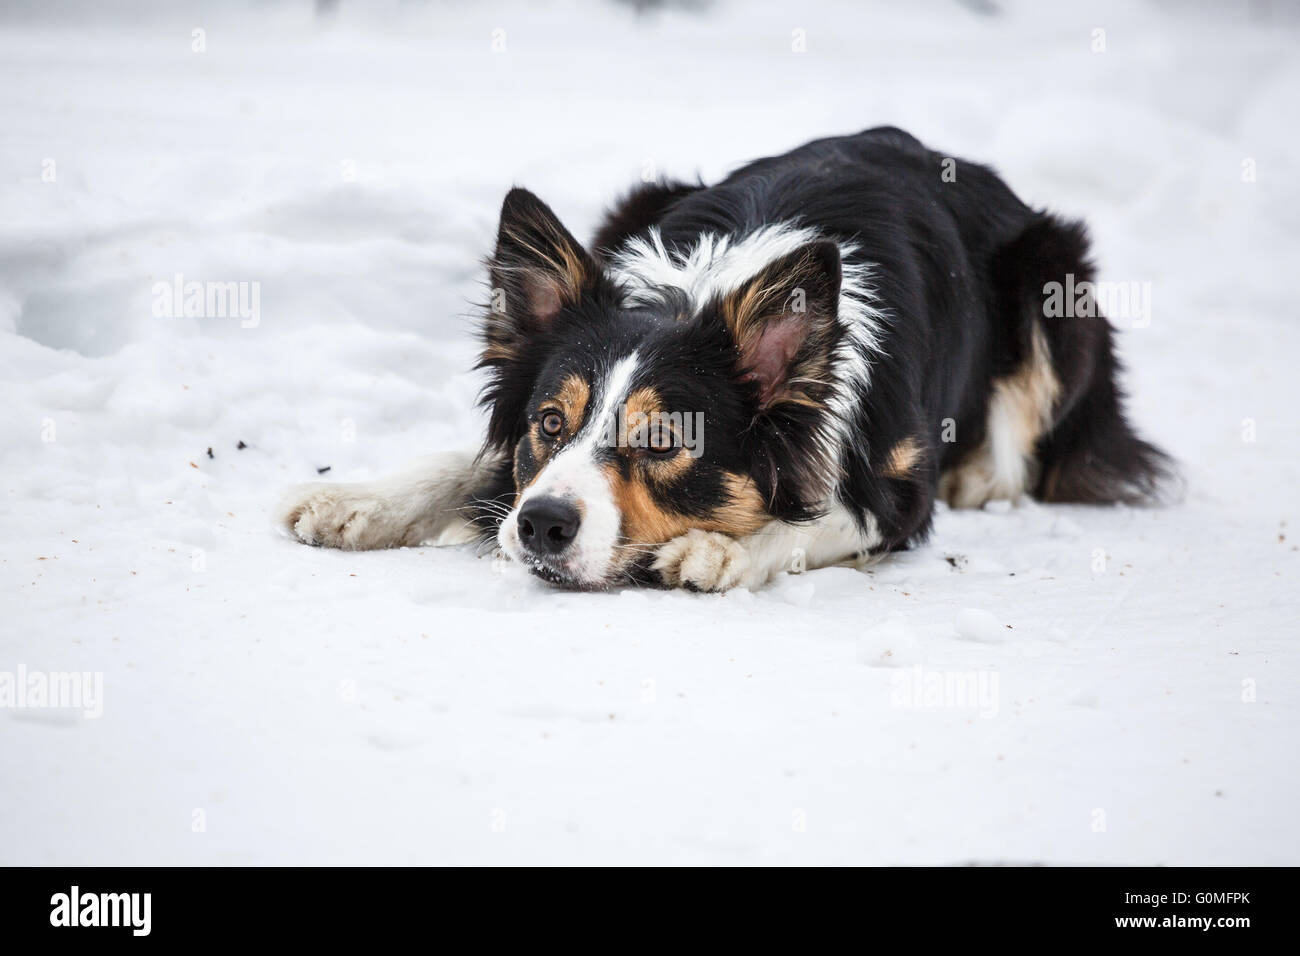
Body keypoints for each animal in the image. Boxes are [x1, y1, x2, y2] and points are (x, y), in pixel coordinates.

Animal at [279, 127, 1175, 590]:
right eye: (549, 421)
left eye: (667, 441)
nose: (540, 525)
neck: (698, 293)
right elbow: (469, 460)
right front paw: (357, 500)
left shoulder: (898, 487)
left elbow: (819, 517)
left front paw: (721, 549)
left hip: (1054, 276)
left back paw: (983, 476)